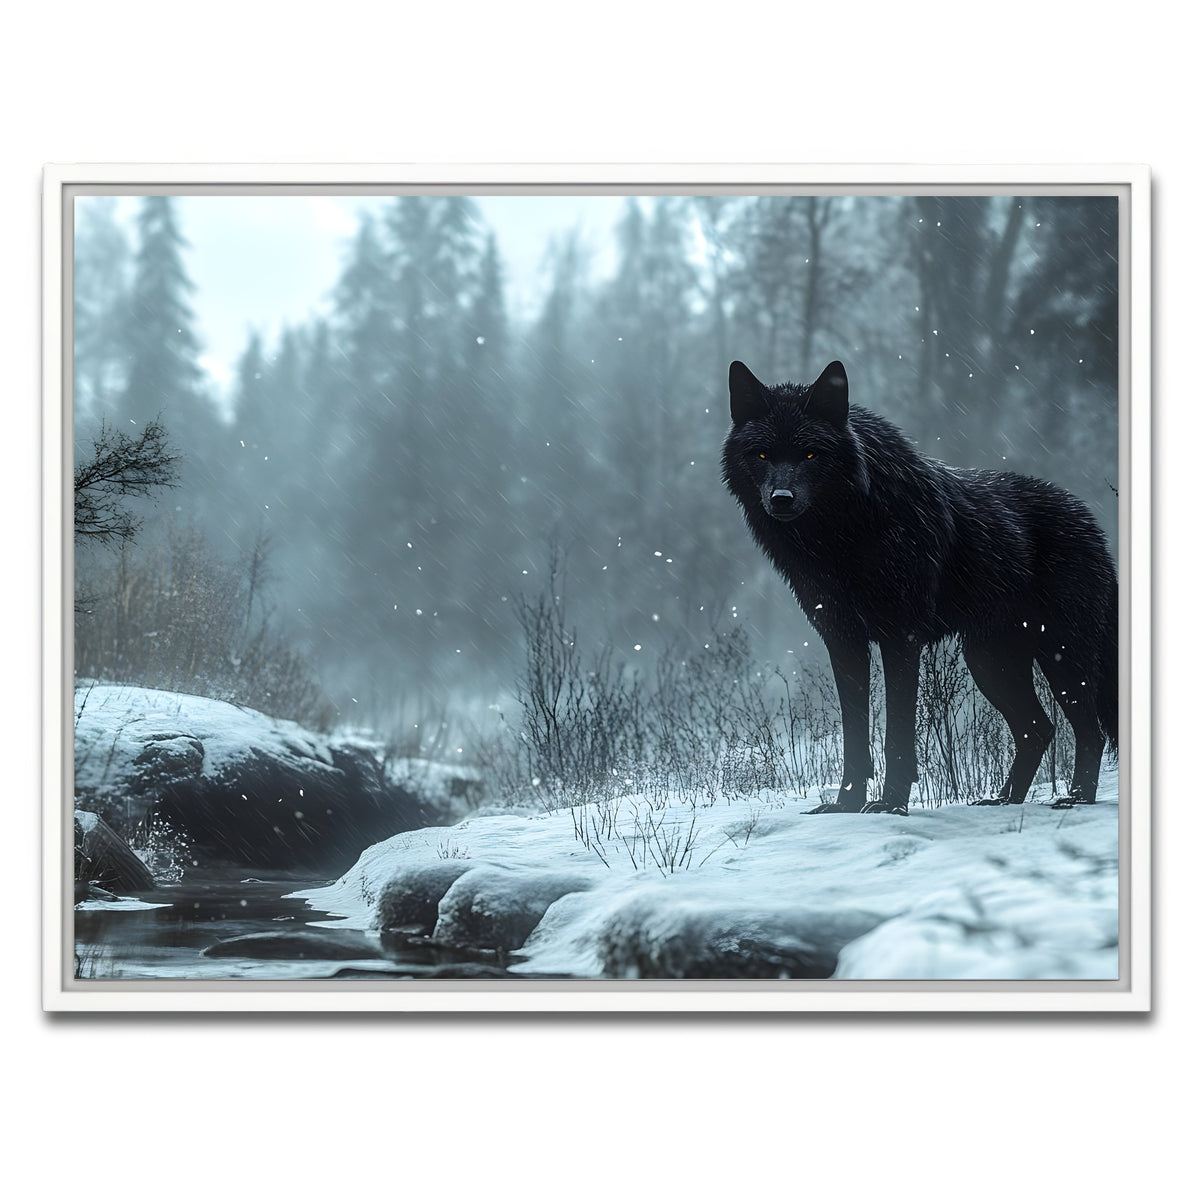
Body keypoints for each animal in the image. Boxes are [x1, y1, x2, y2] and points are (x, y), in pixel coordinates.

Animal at [722, 359, 1118, 814]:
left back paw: (1076, 798)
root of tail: (1091, 522)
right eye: (762, 454)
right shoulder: (843, 640)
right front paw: (845, 805)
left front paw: (890, 804)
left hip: (1060, 656)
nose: (781, 498)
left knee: (1089, 731)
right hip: (989, 661)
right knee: (1039, 728)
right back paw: (1003, 800)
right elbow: (855, 736)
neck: (841, 537)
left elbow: (896, 733)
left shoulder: (901, 637)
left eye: (809, 454)